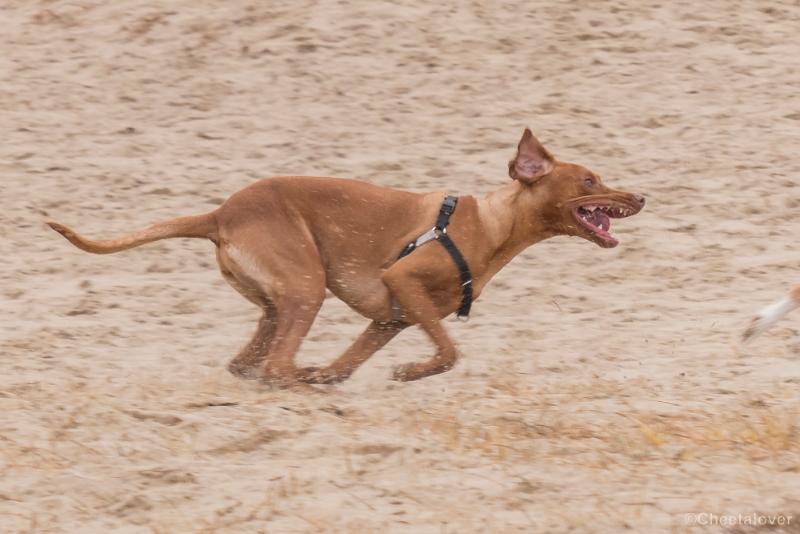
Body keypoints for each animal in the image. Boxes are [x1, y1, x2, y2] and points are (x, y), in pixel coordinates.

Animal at [48, 131, 644, 388]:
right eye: (589, 180)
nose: (640, 196)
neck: (493, 225)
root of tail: (220, 213)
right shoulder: (404, 280)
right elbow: (449, 352)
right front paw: (410, 371)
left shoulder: (391, 318)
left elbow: (350, 362)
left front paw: (337, 374)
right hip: (306, 285)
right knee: (276, 366)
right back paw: (296, 378)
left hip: (280, 302)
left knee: (251, 362)